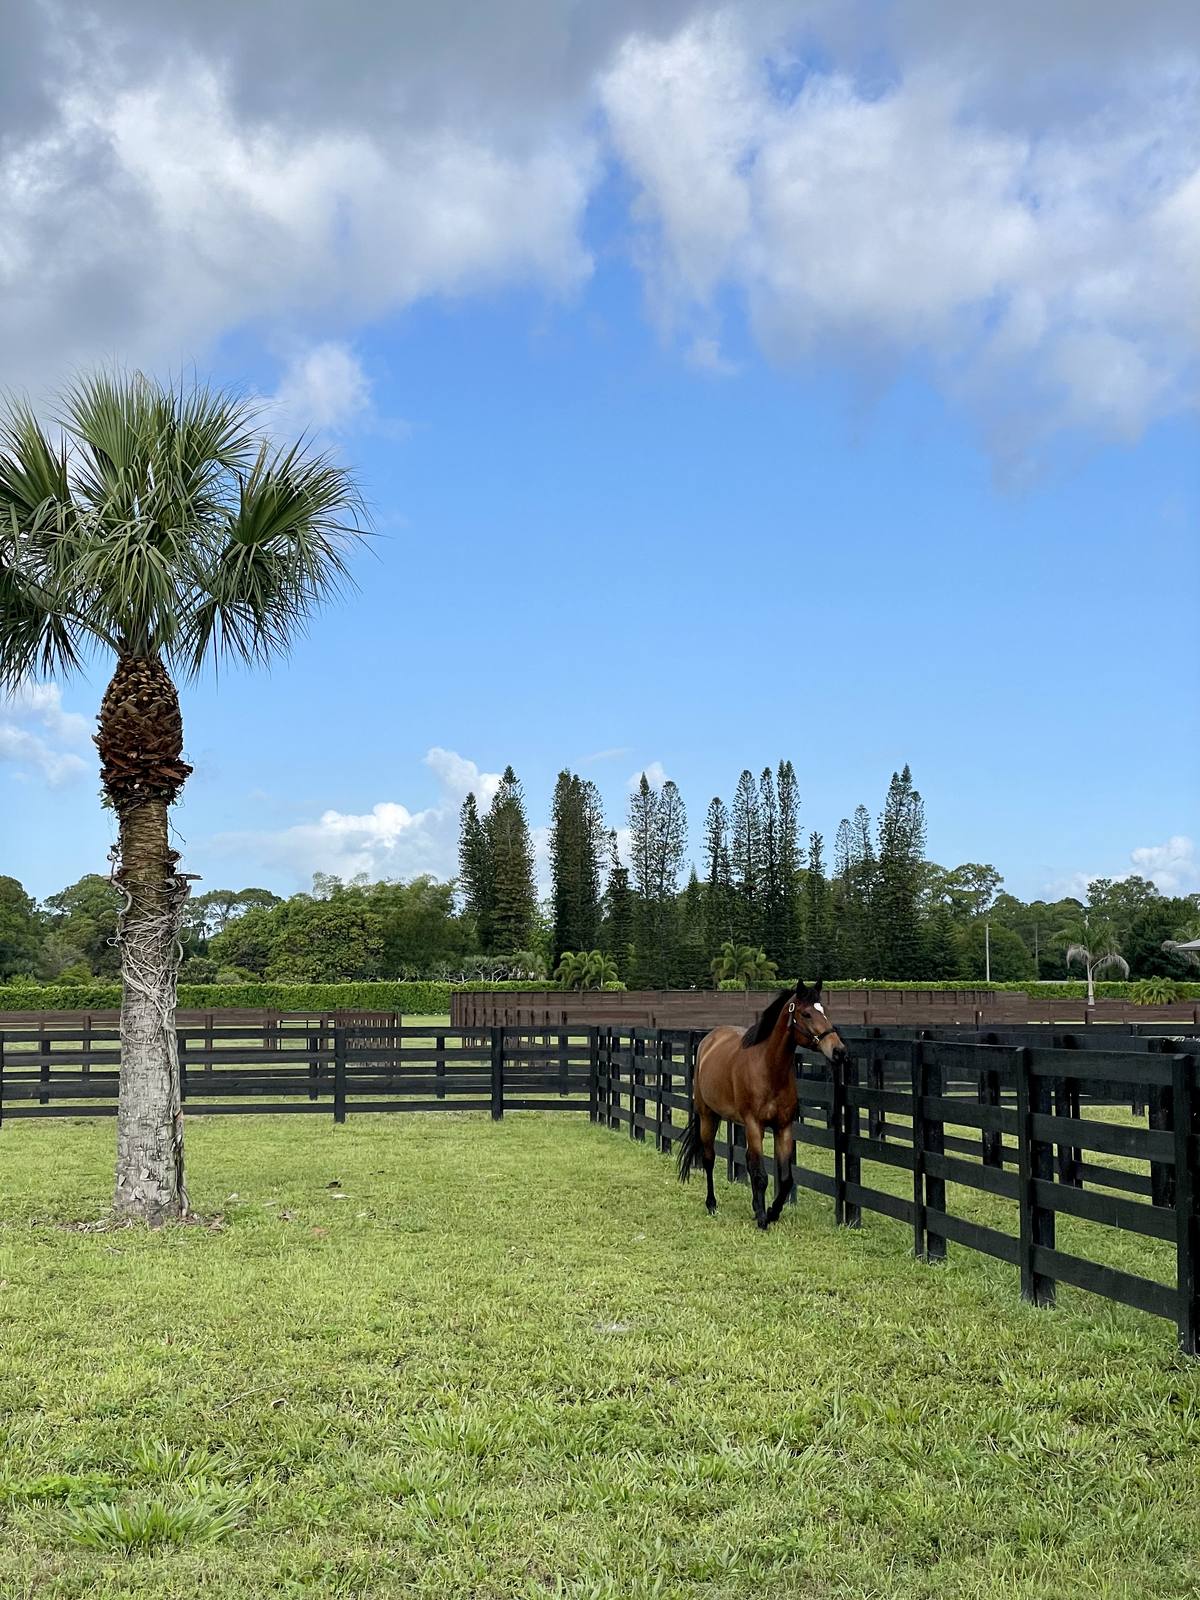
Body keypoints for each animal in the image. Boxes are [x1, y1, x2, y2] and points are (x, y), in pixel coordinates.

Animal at [677, 980, 850, 1229]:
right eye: (806, 1013)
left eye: (824, 1011)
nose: (839, 1051)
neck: (768, 1069)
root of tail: (708, 1040)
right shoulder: (754, 1125)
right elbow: (759, 1174)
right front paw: (761, 1217)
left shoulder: (783, 1127)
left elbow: (785, 1178)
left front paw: (772, 1211)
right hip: (708, 1115)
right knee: (709, 1159)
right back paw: (711, 1204)